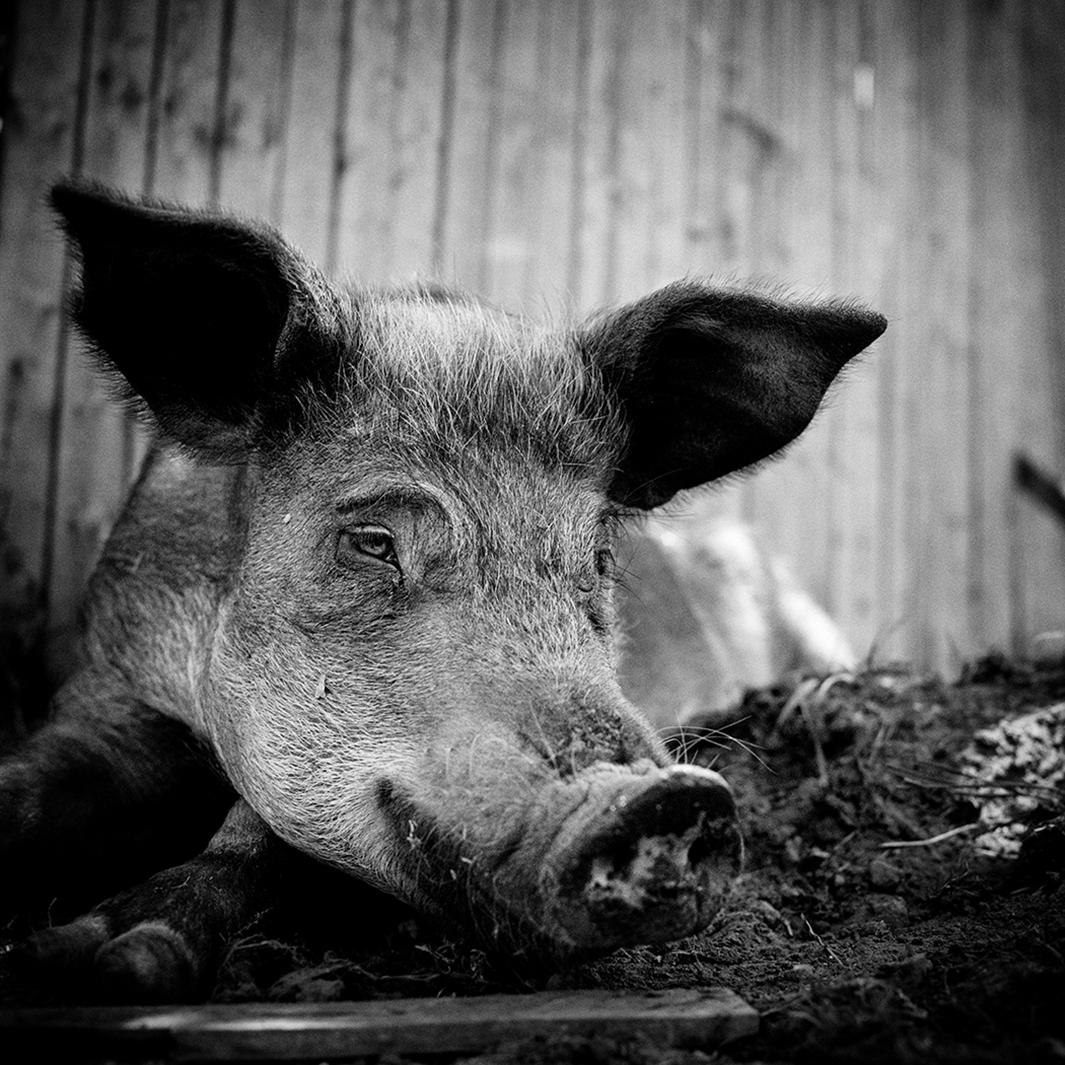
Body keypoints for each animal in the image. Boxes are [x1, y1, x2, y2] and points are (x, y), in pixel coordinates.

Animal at [0, 183, 886, 996]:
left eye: (598, 556)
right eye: (371, 542)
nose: (664, 796)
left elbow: (259, 840)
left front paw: (118, 959)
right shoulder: (111, 680)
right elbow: (28, 786)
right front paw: (66, 958)